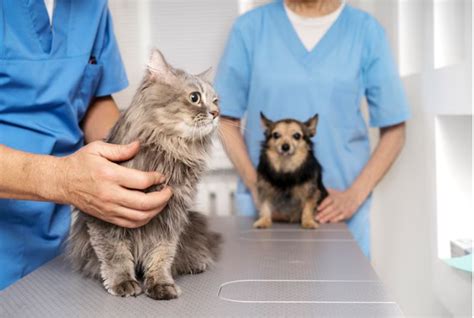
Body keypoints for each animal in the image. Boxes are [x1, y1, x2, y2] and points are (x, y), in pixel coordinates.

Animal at [68, 49, 222, 300]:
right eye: (194, 97)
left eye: (216, 101)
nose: (216, 113)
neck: (169, 149)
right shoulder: (105, 217)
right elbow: (115, 255)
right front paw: (123, 282)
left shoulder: (170, 219)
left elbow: (161, 256)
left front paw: (160, 284)